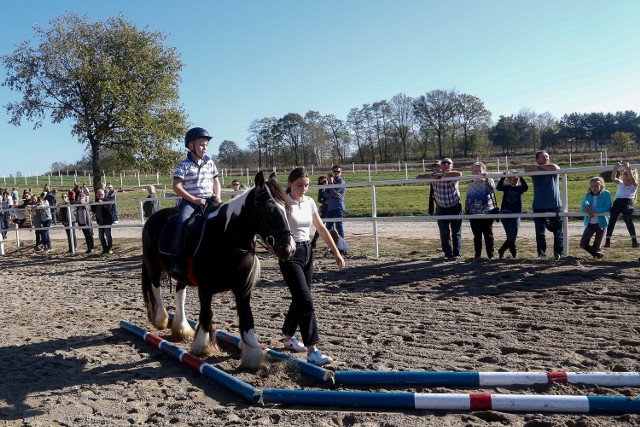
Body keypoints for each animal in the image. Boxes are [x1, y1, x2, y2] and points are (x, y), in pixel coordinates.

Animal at [141, 172, 296, 370]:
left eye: (286, 207)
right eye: (267, 208)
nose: (288, 249)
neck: (224, 239)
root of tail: (152, 219)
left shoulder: (242, 289)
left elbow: (247, 319)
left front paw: (253, 357)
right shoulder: (205, 289)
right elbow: (206, 315)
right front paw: (202, 347)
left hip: (181, 277)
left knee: (179, 296)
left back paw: (182, 329)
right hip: (153, 266)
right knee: (156, 288)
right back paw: (161, 319)